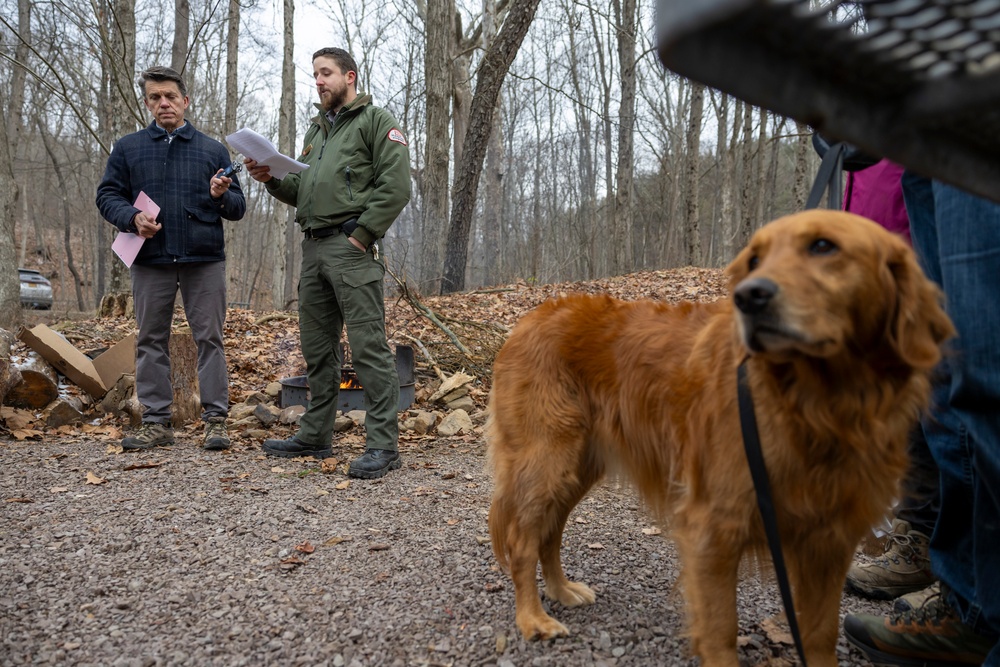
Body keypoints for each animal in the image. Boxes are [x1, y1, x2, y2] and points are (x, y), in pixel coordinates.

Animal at [484, 210, 952, 667]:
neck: (814, 403)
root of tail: (529, 318)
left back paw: (561, 590)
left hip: (578, 465)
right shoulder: (715, 526)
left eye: (824, 246)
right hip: (547, 459)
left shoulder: (829, 542)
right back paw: (532, 618)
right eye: (754, 259)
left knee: (549, 531)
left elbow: (821, 635)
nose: (748, 296)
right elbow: (722, 631)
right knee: (523, 540)